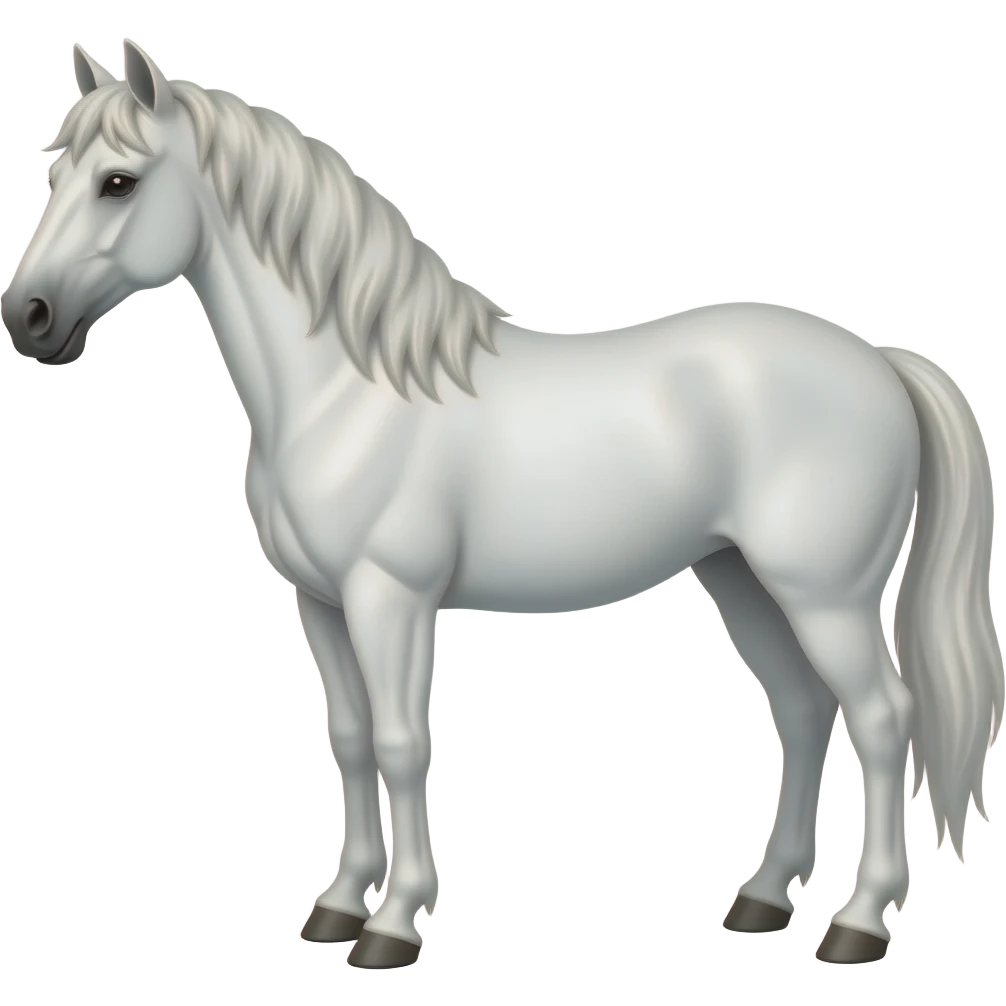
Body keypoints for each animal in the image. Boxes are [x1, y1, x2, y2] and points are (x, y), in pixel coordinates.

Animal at [2, 40, 1001, 969]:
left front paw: (393, 927)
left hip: (824, 596)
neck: (347, 392)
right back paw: (761, 901)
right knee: (801, 710)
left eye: (120, 182)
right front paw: (338, 907)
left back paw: (858, 924)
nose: (29, 318)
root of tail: (879, 362)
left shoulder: (390, 598)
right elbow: (351, 740)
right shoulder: (319, 603)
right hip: (743, 580)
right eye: (53, 174)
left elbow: (403, 743)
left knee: (885, 721)